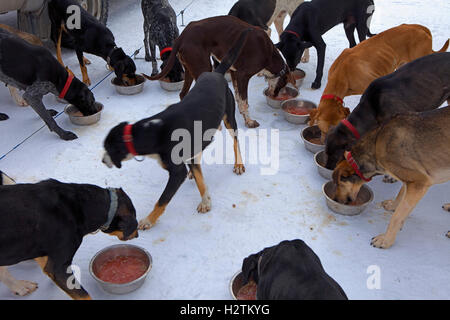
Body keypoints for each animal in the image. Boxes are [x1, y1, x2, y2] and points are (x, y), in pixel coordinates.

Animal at [101, 27, 250, 229]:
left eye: (108, 149)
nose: (102, 160)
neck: (152, 131)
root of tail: (216, 73)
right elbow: (200, 180)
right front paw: (206, 201)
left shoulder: (177, 173)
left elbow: (162, 200)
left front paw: (148, 220)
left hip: (229, 118)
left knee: (235, 140)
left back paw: (238, 164)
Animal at [146, 14, 298, 127]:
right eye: (283, 85)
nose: (274, 96)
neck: (268, 53)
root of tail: (182, 36)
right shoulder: (243, 76)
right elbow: (244, 102)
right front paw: (249, 122)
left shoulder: (235, 73)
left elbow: (238, 99)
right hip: (203, 68)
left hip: (189, 69)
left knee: (183, 94)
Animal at [330, 106, 450, 249]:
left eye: (338, 183)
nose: (335, 200)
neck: (376, 146)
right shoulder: (409, 181)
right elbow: (401, 196)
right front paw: (394, 206)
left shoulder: (419, 182)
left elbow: (397, 217)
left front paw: (386, 240)